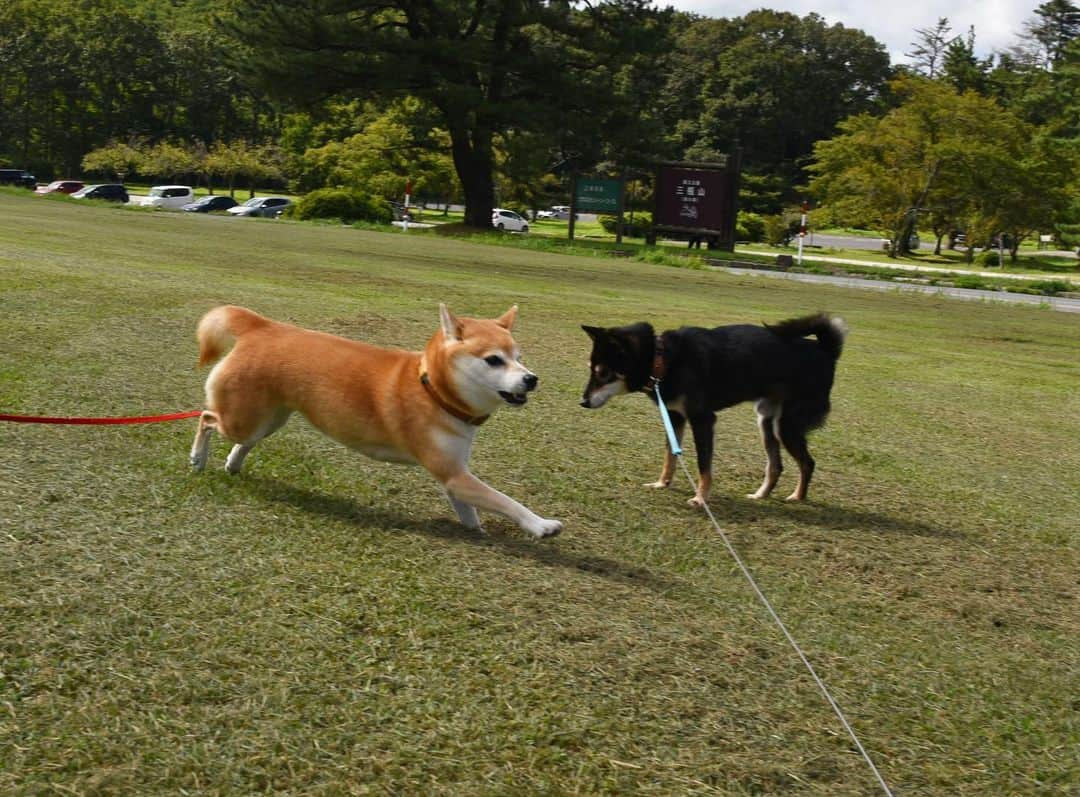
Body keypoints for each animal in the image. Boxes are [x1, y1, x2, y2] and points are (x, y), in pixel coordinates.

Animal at [190, 300, 561, 537]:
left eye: (519, 357)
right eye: (494, 360)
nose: (532, 379)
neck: (433, 390)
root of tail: (261, 326)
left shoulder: (455, 472)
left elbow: (467, 505)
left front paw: (475, 528)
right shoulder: (452, 472)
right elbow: (505, 501)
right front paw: (541, 526)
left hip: (267, 420)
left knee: (244, 441)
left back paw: (233, 464)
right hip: (241, 417)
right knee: (206, 416)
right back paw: (198, 458)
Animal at [578, 311, 846, 503]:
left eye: (602, 373)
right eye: (591, 369)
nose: (583, 402)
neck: (663, 360)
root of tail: (826, 350)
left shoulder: (702, 420)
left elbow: (703, 464)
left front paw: (700, 498)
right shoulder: (674, 417)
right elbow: (670, 455)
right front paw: (662, 483)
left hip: (786, 425)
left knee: (807, 463)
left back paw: (797, 497)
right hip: (766, 422)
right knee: (776, 466)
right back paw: (761, 495)